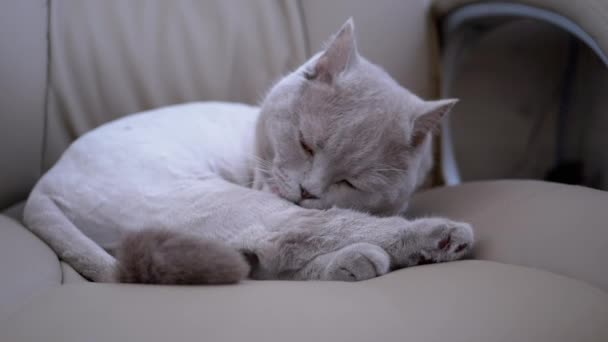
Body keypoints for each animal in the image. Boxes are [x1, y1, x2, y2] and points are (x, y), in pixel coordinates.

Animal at [23, 20, 472, 284]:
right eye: (306, 144)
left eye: (350, 182)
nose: (309, 191)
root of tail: (42, 186)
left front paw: (350, 263)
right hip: (206, 198)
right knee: (307, 230)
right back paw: (439, 238)